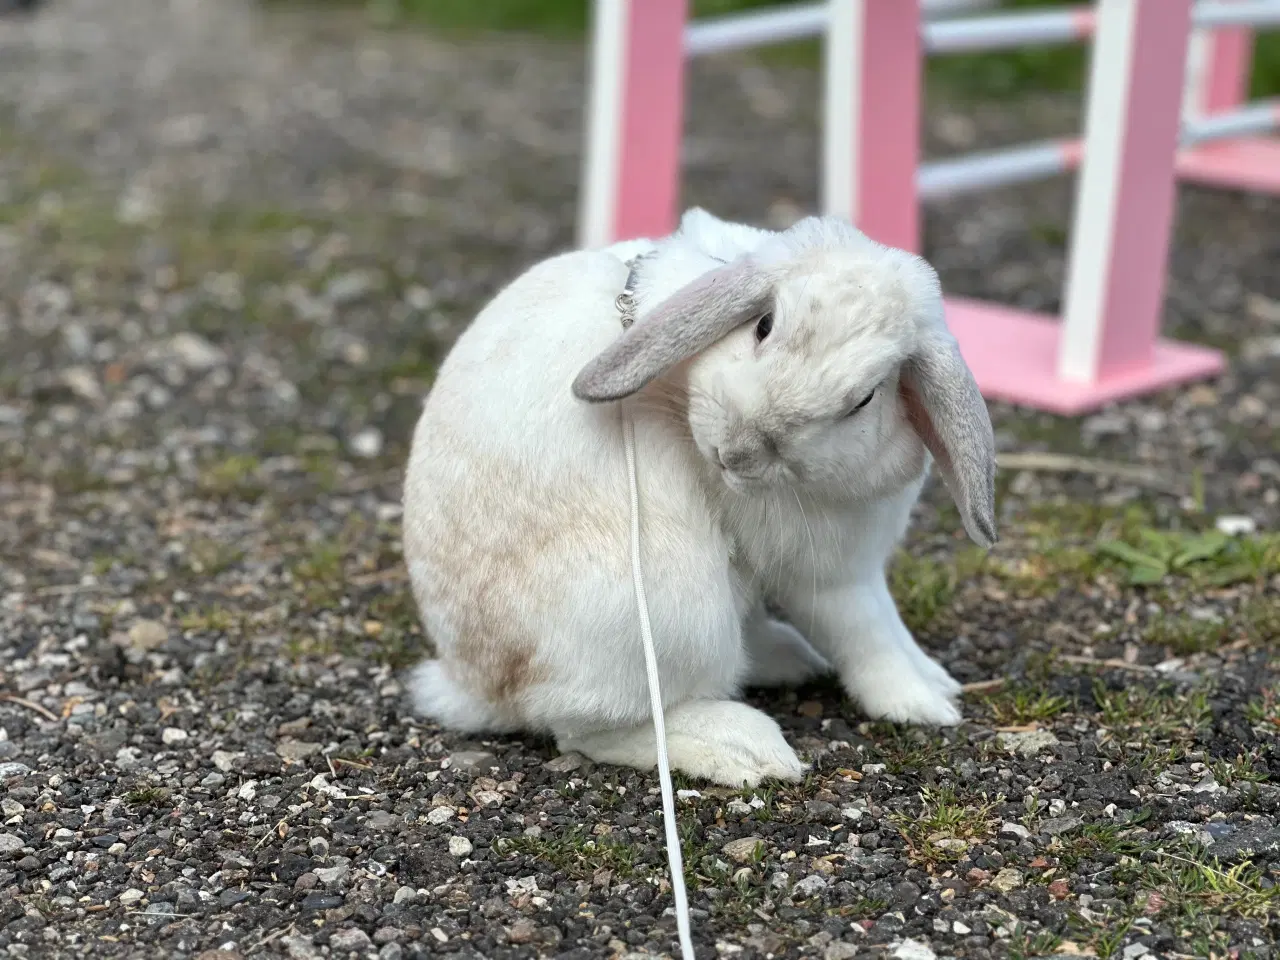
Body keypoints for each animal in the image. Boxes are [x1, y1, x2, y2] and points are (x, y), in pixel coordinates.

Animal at [404, 209, 993, 788]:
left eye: (865, 399)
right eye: (763, 325)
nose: (737, 452)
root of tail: (476, 685)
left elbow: (886, 622)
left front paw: (935, 680)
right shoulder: (828, 574)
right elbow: (866, 630)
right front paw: (918, 703)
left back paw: (783, 660)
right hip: (674, 614)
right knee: (587, 728)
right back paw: (743, 748)